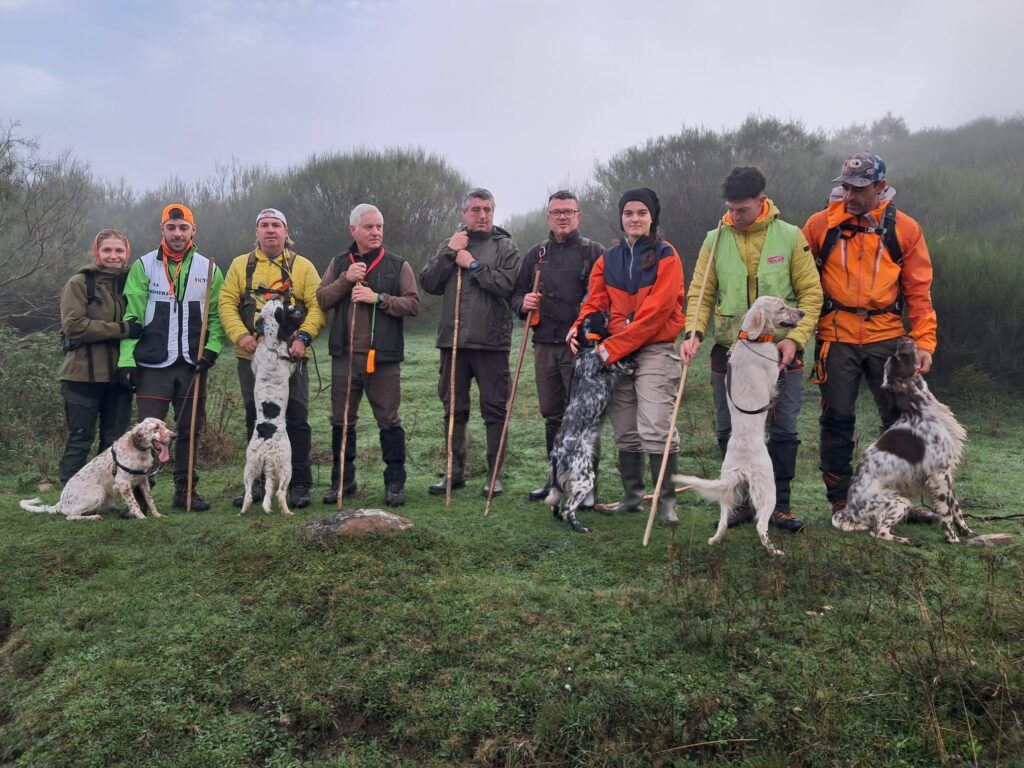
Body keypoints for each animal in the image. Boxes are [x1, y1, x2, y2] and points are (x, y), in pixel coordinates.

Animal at [19, 421, 176, 524]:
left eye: (165, 426)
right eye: (156, 428)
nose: (174, 435)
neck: (138, 451)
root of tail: (61, 504)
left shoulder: (143, 481)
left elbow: (150, 501)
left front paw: (158, 515)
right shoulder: (123, 483)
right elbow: (134, 503)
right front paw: (142, 517)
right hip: (98, 491)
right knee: (71, 516)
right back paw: (94, 517)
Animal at [240, 296, 299, 520]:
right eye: (280, 307)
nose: (274, 296)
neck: (271, 344)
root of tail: (266, 443)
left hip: (250, 467)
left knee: (249, 493)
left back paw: (243, 510)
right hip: (286, 466)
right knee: (281, 493)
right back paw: (287, 512)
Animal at [548, 311, 634, 536]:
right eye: (601, 315)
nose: (607, 310)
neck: (588, 349)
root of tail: (557, 454)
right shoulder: (624, 364)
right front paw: (631, 318)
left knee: (556, 505)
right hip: (585, 478)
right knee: (568, 508)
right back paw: (579, 527)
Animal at [679, 296, 806, 561]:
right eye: (781, 307)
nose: (802, 313)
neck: (752, 340)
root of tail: (741, 468)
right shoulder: (773, 370)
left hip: (728, 492)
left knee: (723, 522)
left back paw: (715, 540)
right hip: (768, 490)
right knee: (761, 526)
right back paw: (774, 551)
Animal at [827, 335, 970, 548]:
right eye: (900, 358)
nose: (904, 338)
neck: (920, 408)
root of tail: (849, 512)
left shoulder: (947, 473)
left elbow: (956, 507)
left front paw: (967, 531)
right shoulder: (938, 473)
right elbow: (946, 513)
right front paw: (952, 538)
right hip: (900, 501)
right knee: (878, 532)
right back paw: (912, 541)